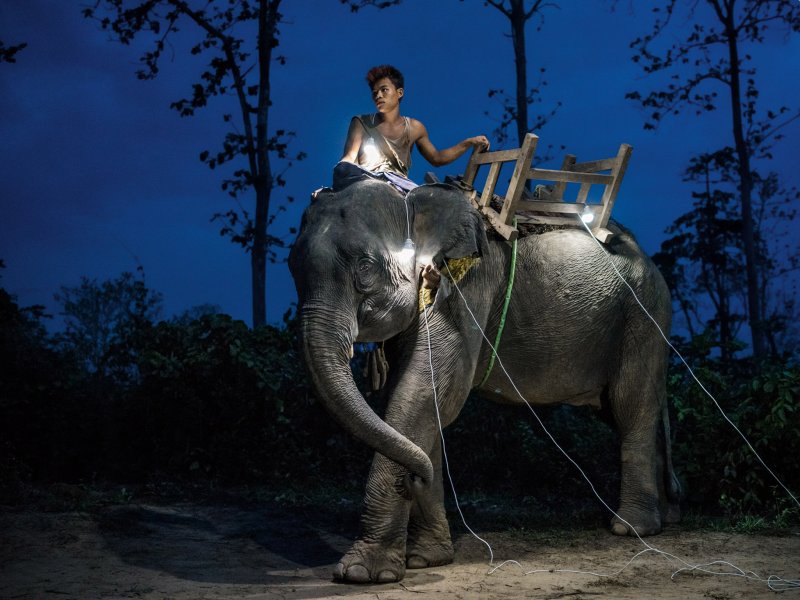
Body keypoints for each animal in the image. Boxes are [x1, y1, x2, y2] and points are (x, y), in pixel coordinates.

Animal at [290, 178, 680, 580]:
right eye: (291, 268)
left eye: (365, 268)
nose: (416, 479)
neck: (417, 203)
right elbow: (422, 407)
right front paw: (427, 559)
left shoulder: (465, 290)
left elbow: (425, 395)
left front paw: (361, 574)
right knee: (624, 411)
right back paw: (667, 518)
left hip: (645, 316)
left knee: (630, 406)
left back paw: (632, 528)